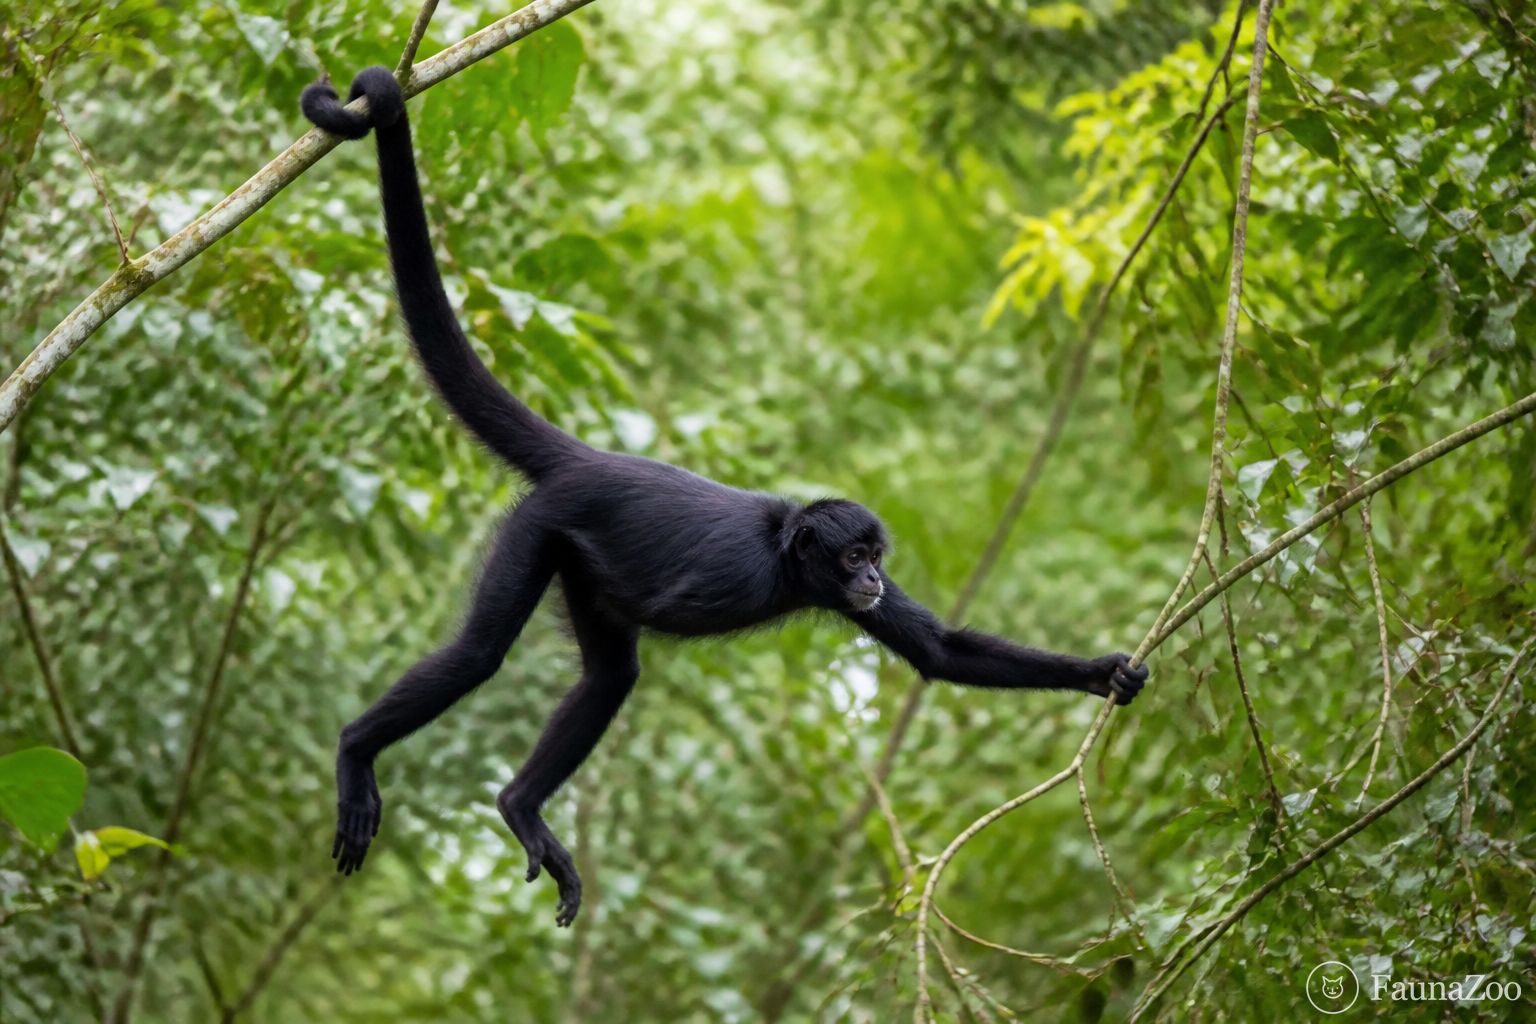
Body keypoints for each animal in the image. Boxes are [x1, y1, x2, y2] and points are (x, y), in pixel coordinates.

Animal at [300, 66, 1149, 928]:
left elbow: (940, 653)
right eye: (855, 557)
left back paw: (519, 805)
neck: (786, 556)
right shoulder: (739, 571)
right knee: (482, 654)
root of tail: (592, 460)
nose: (874, 579)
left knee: (611, 677)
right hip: (541, 528)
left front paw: (1105, 672)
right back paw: (356, 751)